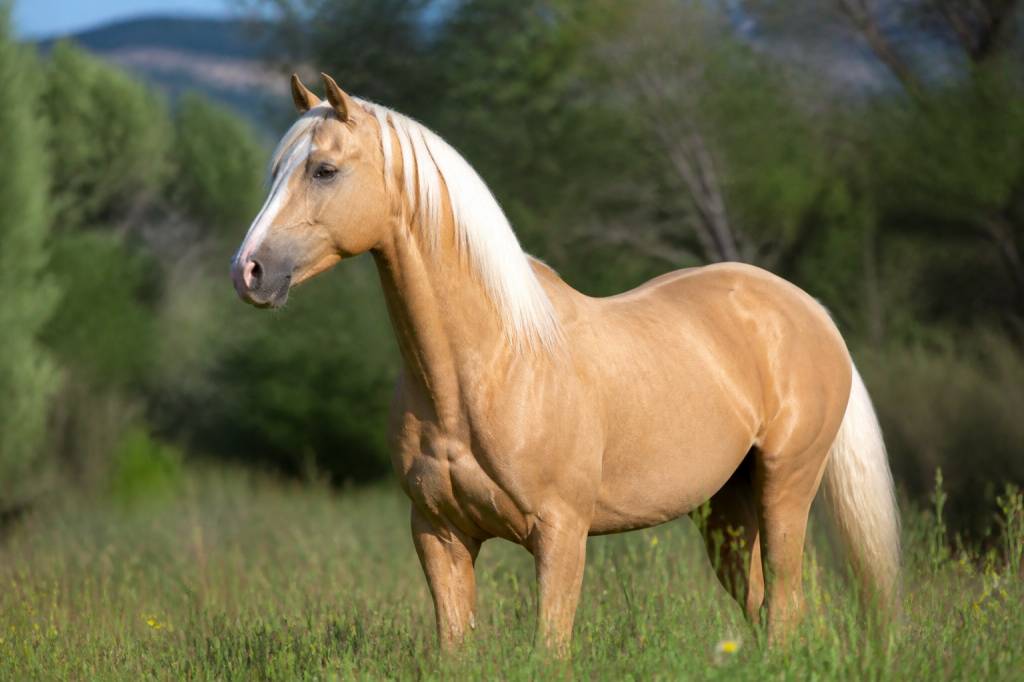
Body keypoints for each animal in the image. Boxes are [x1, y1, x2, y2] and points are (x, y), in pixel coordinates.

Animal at [230, 73, 901, 655]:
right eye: (274, 172)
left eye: (324, 170)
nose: (249, 272)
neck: (489, 367)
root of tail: (808, 310)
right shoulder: (439, 534)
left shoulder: (560, 536)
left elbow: (550, 650)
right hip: (726, 510)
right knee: (761, 604)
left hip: (786, 486)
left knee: (784, 604)